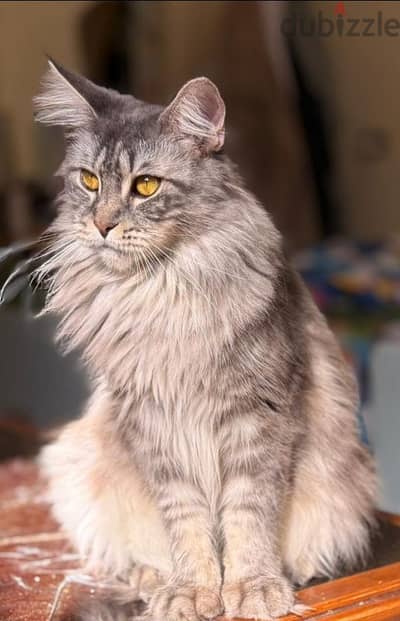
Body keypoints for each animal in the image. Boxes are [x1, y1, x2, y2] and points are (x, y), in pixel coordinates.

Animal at [33, 59, 376, 620]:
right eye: (88, 181)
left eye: (146, 186)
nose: (102, 226)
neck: (158, 293)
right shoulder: (151, 421)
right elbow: (185, 521)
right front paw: (192, 590)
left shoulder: (257, 415)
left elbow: (248, 513)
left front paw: (253, 585)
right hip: (75, 463)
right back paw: (153, 579)